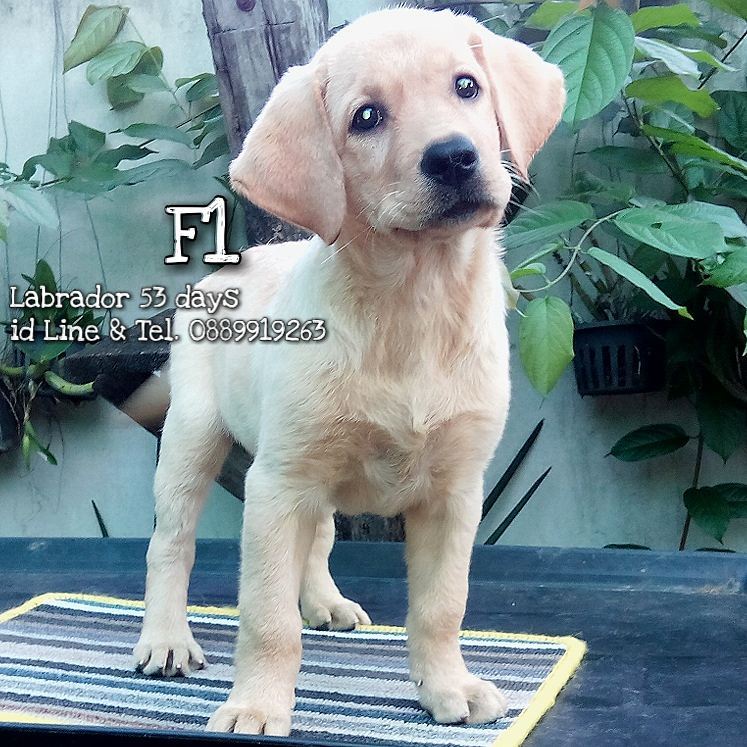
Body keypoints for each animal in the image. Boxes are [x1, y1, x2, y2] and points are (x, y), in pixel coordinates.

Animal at [133, 7, 564, 736]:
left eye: (467, 86)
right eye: (366, 117)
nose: (454, 156)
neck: (413, 302)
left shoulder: (455, 492)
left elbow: (441, 605)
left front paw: (446, 686)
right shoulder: (277, 486)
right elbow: (266, 618)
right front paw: (256, 705)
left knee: (320, 537)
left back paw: (324, 601)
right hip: (193, 437)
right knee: (171, 543)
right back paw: (165, 639)